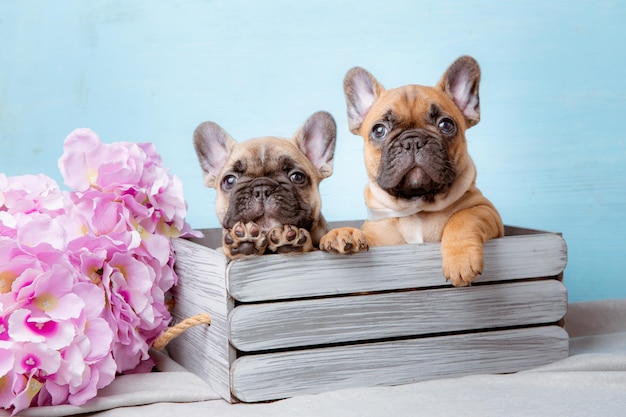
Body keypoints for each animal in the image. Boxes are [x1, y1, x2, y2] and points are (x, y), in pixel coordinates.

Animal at [320, 55, 504, 286]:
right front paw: (344, 233)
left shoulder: (485, 210)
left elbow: (462, 218)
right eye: (379, 130)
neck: (417, 205)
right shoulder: (379, 237)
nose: (413, 141)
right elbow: (367, 236)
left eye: (446, 125)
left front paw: (460, 261)